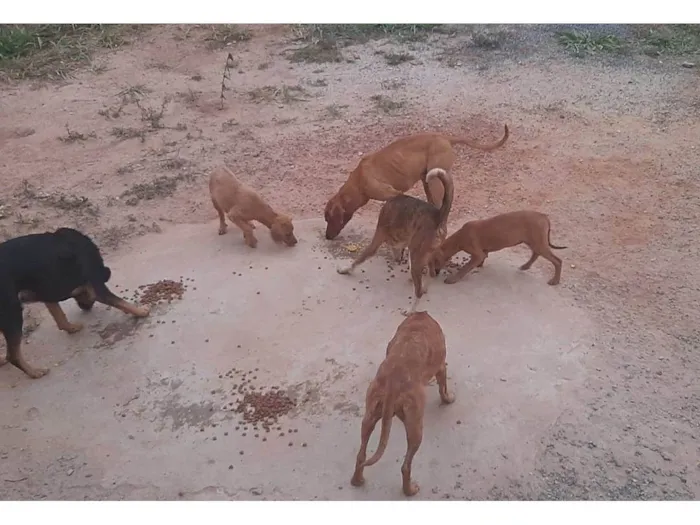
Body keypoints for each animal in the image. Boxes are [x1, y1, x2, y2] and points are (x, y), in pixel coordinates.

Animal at [0, 227, 149, 378]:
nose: (85, 308)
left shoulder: (48, 290)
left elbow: (60, 316)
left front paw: (70, 328)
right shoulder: (96, 286)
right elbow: (119, 301)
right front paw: (141, 311)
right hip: (12, 314)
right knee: (13, 356)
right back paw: (34, 372)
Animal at [322, 126, 508, 241]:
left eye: (329, 219)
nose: (327, 237)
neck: (358, 182)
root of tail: (445, 138)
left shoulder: (393, 194)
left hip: (434, 182)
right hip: (428, 182)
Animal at [338, 169, 454, 316]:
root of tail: (439, 216)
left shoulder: (377, 238)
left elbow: (359, 259)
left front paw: (345, 269)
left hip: (416, 256)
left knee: (418, 291)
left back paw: (410, 310)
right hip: (427, 254)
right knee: (431, 274)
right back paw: (425, 287)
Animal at [432, 209, 568, 284]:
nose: (434, 274)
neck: (460, 237)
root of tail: (543, 215)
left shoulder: (477, 254)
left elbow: (465, 268)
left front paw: (453, 279)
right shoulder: (483, 252)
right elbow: (482, 258)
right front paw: (479, 265)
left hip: (538, 243)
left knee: (557, 261)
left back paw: (555, 281)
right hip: (533, 242)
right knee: (536, 253)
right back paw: (525, 266)